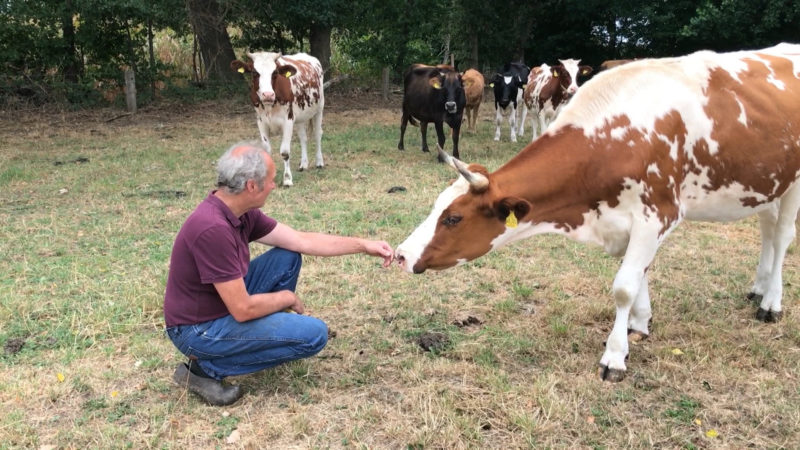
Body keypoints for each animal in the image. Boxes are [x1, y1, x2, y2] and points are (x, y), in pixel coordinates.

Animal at [230, 51, 324, 186]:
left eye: (275, 73)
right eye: (254, 72)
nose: (268, 95)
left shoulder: (288, 120)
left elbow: (285, 152)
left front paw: (287, 179)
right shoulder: (261, 121)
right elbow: (266, 150)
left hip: (319, 108)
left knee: (317, 134)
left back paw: (319, 162)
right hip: (300, 116)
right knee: (303, 138)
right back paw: (303, 164)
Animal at [394, 44, 800, 382]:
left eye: (453, 218)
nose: (400, 255)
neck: (618, 137)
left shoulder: (656, 215)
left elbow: (624, 286)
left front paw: (615, 355)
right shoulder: (625, 220)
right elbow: (639, 276)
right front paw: (640, 323)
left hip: (793, 181)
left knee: (781, 237)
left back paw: (771, 302)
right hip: (765, 182)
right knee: (767, 229)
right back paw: (758, 286)